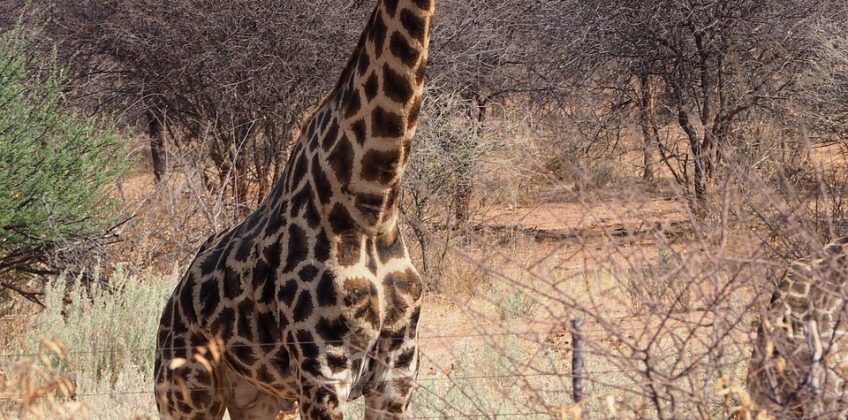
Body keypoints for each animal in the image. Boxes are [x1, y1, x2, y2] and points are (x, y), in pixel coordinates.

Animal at [153, 0, 434, 418]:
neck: (373, 206)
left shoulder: (397, 374)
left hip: (259, 397)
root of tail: (172, 303)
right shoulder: (322, 372)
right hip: (185, 392)